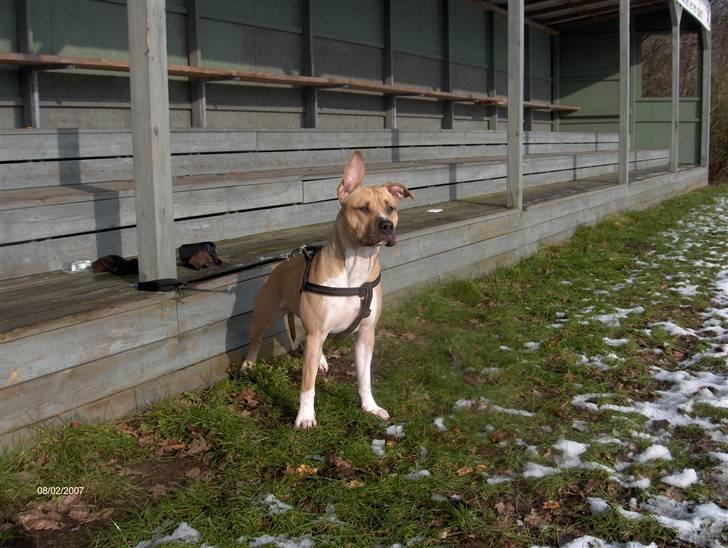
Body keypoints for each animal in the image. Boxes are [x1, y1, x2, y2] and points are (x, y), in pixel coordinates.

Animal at [243, 150, 412, 428]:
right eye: (363, 208)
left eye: (391, 208)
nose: (387, 225)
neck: (356, 266)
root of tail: (284, 262)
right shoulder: (316, 331)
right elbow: (307, 384)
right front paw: (305, 417)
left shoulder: (366, 334)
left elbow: (365, 377)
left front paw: (370, 406)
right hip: (265, 314)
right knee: (257, 339)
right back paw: (248, 364)